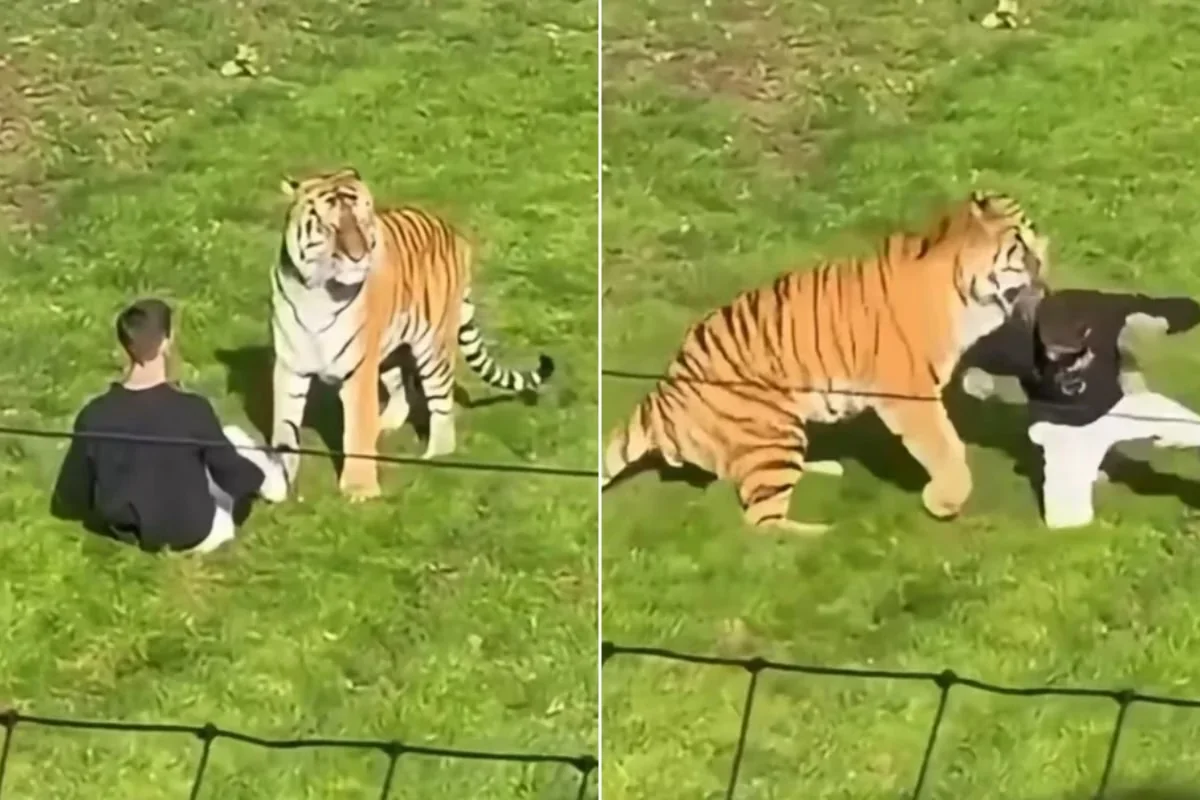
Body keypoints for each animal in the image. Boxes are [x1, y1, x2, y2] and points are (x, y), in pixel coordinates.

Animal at [271, 167, 555, 501]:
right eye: (331, 226)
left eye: (362, 220)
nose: (358, 256)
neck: (317, 292)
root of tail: (453, 233)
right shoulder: (290, 366)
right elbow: (283, 427)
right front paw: (277, 480)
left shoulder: (358, 369)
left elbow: (356, 431)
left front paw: (360, 490)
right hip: (391, 349)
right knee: (400, 392)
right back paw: (384, 424)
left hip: (433, 348)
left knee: (441, 405)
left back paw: (434, 457)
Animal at [602, 191, 1050, 534]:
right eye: (1023, 248)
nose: (1046, 270)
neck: (964, 294)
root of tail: (661, 394)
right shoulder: (910, 394)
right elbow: (945, 445)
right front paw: (945, 501)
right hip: (771, 430)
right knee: (762, 523)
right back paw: (826, 533)